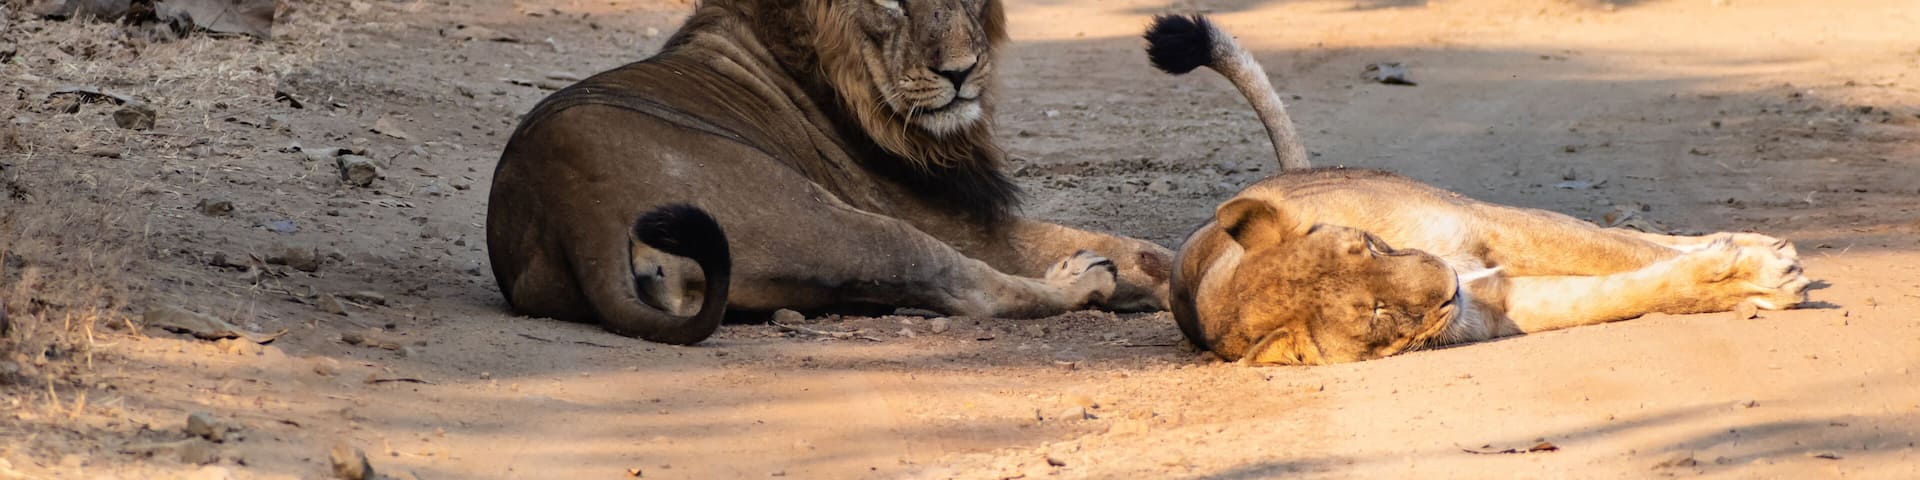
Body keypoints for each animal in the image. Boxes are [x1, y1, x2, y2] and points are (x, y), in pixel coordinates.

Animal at [485, 0, 1174, 344]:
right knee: (973, 288)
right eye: (891, 1)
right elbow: (1117, 241)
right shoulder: (943, 216)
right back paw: (1083, 279)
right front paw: (1159, 276)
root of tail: (574, 209)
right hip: (840, 221)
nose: (961, 72)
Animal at [1147, 15, 1814, 365]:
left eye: (1366, 247)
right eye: (1375, 313)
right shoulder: (1491, 310)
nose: (1447, 283)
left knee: (1633, 233)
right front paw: (1748, 281)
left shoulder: (1490, 227)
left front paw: (1757, 265)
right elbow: (1624, 290)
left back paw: (1754, 239)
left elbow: (1625, 251)